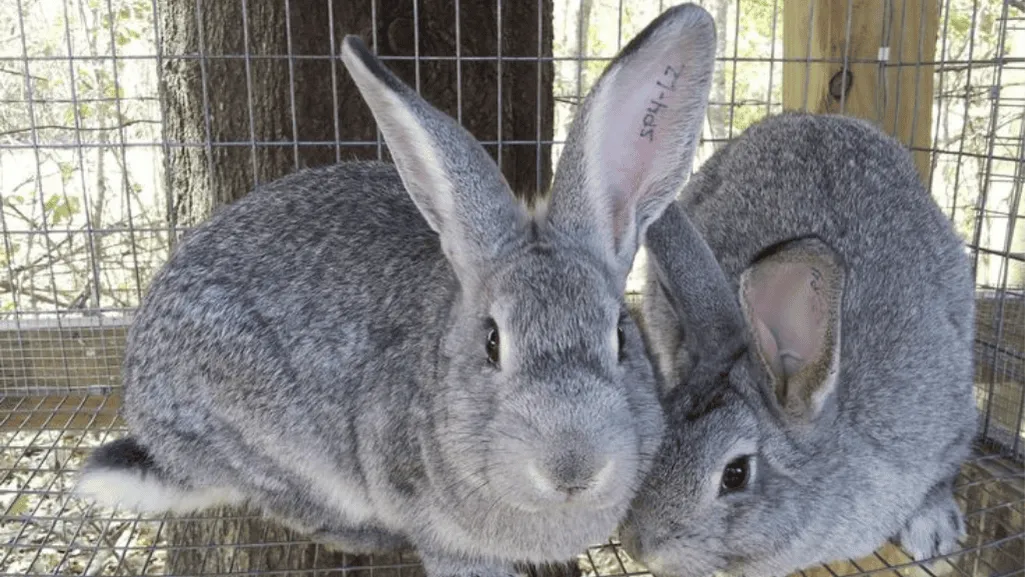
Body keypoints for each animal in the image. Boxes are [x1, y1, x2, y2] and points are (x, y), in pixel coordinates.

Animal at [73, 5, 718, 577]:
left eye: (621, 337)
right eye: (492, 343)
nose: (572, 468)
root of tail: (151, 427)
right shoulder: (436, 522)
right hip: (256, 433)